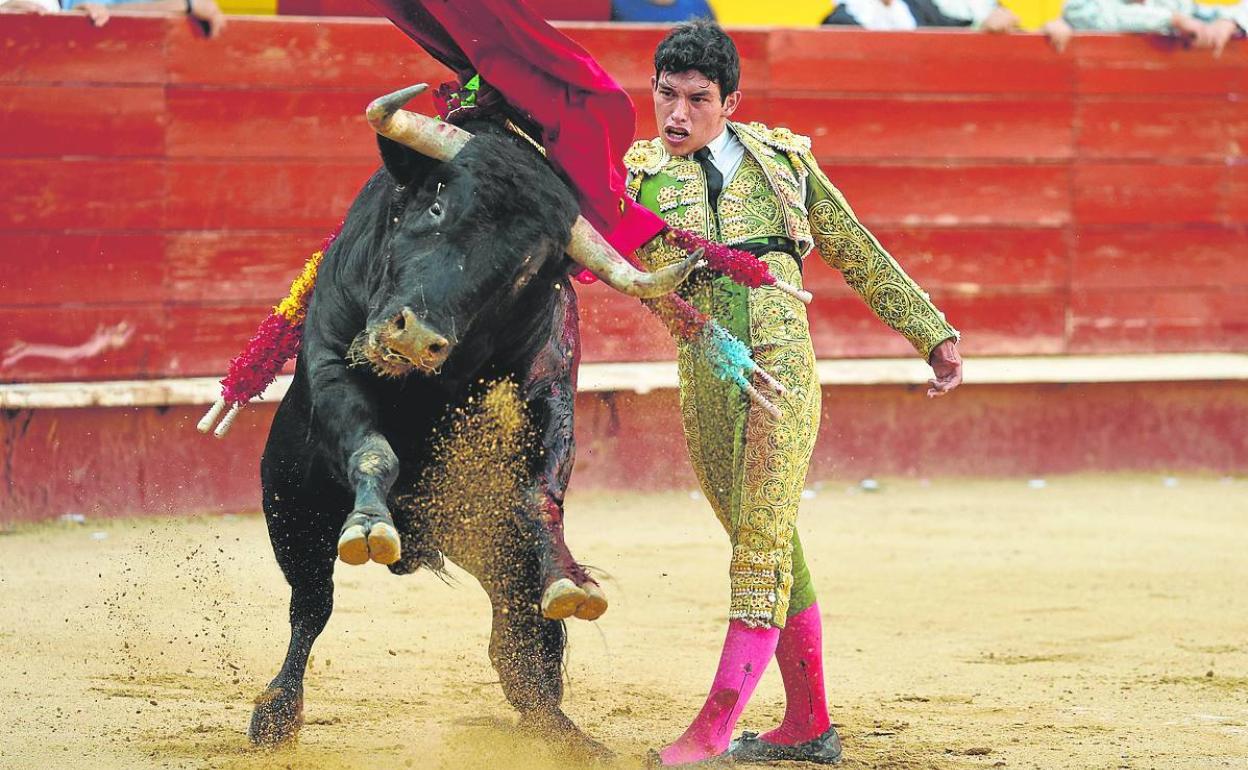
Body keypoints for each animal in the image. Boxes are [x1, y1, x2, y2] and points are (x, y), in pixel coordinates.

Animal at [250, 84, 703, 748]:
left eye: (523, 270)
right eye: (438, 208)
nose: (417, 337)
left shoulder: (546, 388)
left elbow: (539, 495)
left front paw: (571, 578)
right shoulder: (334, 362)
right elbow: (372, 450)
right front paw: (369, 525)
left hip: (493, 549)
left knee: (521, 651)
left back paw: (569, 738)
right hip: (291, 505)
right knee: (310, 606)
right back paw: (277, 713)